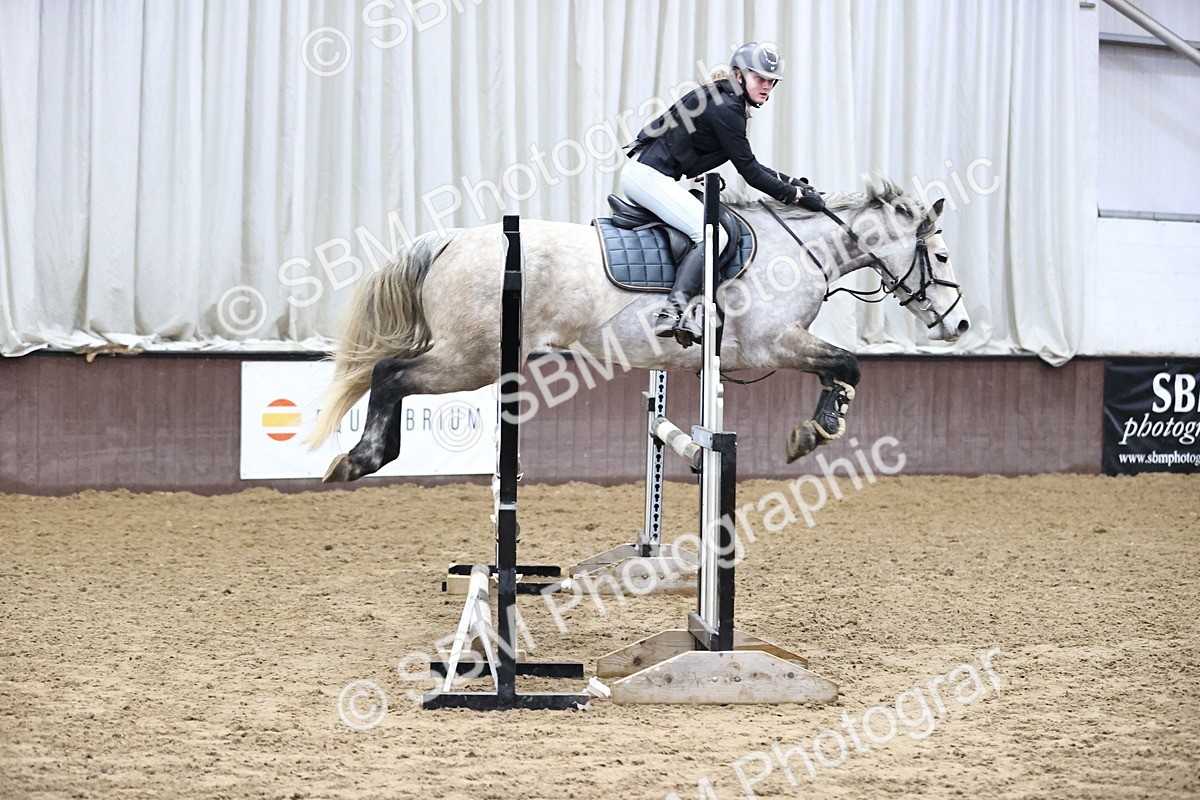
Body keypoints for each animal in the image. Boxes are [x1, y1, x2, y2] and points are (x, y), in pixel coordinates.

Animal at [306, 177, 969, 481]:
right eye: (940, 256)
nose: (960, 323)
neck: (800, 248)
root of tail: (450, 241)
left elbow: (840, 367)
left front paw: (817, 426)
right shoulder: (772, 343)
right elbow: (847, 362)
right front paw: (816, 430)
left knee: (389, 374)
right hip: (469, 359)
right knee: (391, 373)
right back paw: (362, 458)